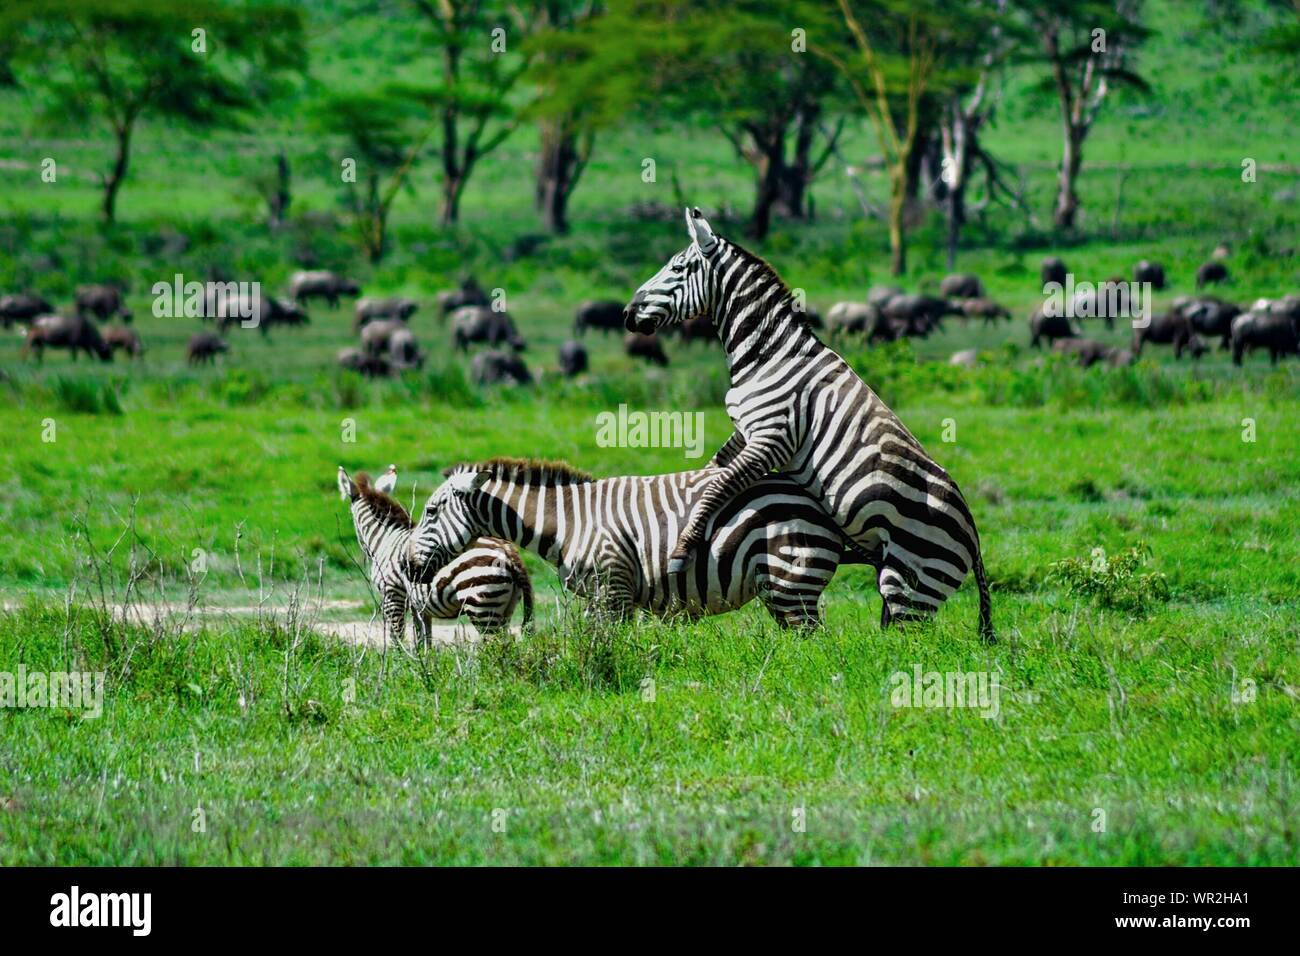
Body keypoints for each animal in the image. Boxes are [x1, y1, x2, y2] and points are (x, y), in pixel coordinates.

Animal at [338, 465, 532, 645]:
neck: (386, 539)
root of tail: (509, 553)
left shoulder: (393, 595)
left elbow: (396, 638)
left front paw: (396, 659)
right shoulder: (419, 607)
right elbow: (423, 639)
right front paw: (421, 660)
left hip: (481, 605)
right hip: (506, 608)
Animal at [406, 458, 867, 628]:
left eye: (430, 512)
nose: (410, 566)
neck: (570, 523)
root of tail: (817, 499)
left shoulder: (613, 590)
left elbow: (609, 651)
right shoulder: (600, 596)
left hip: (792, 579)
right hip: (780, 589)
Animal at [623, 208, 993, 640]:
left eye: (677, 268)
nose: (627, 314)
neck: (770, 353)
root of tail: (974, 537)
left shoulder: (772, 438)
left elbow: (715, 486)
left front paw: (682, 550)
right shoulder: (745, 432)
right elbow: (711, 472)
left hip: (909, 582)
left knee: (910, 643)